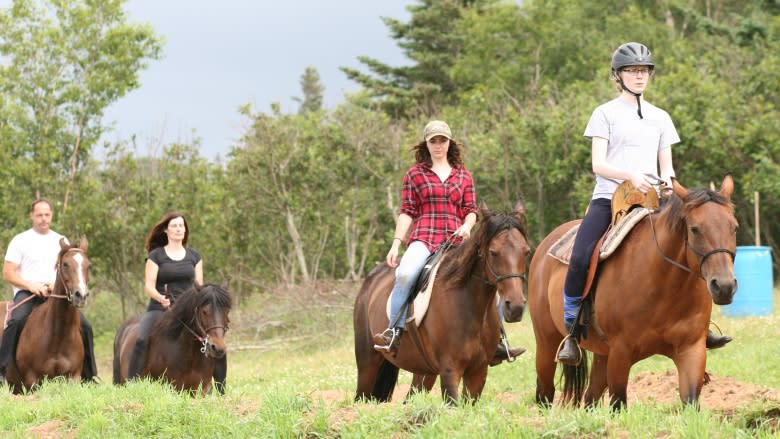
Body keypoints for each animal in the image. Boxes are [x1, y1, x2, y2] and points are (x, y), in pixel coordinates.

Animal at [0, 237, 90, 396]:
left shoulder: (73, 377)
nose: (81, 295)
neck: (58, 337)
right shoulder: (33, 381)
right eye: (65, 264)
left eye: (88, 265)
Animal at [354, 206, 532, 406]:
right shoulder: (449, 370)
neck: (468, 304)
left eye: (526, 252)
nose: (515, 307)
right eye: (493, 252)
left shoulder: (478, 371)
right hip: (367, 364)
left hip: (424, 372)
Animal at [532, 174, 736, 410]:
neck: (665, 287)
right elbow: (618, 402)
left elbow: (691, 401)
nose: (724, 286)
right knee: (544, 394)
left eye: (734, 227)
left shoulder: (691, 350)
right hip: (546, 345)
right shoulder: (620, 353)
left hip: (601, 354)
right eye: (694, 229)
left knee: (591, 397)